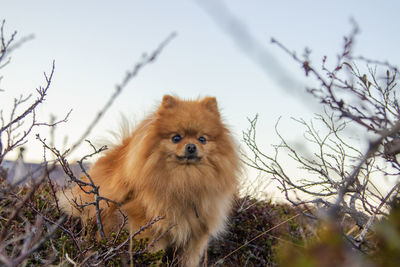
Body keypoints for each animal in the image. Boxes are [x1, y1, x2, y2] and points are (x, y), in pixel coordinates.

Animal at [57, 95, 239, 266]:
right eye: (176, 138)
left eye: (202, 139)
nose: (191, 147)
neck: (185, 181)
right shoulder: (151, 228)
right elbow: (151, 255)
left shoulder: (195, 235)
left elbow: (188, 260)